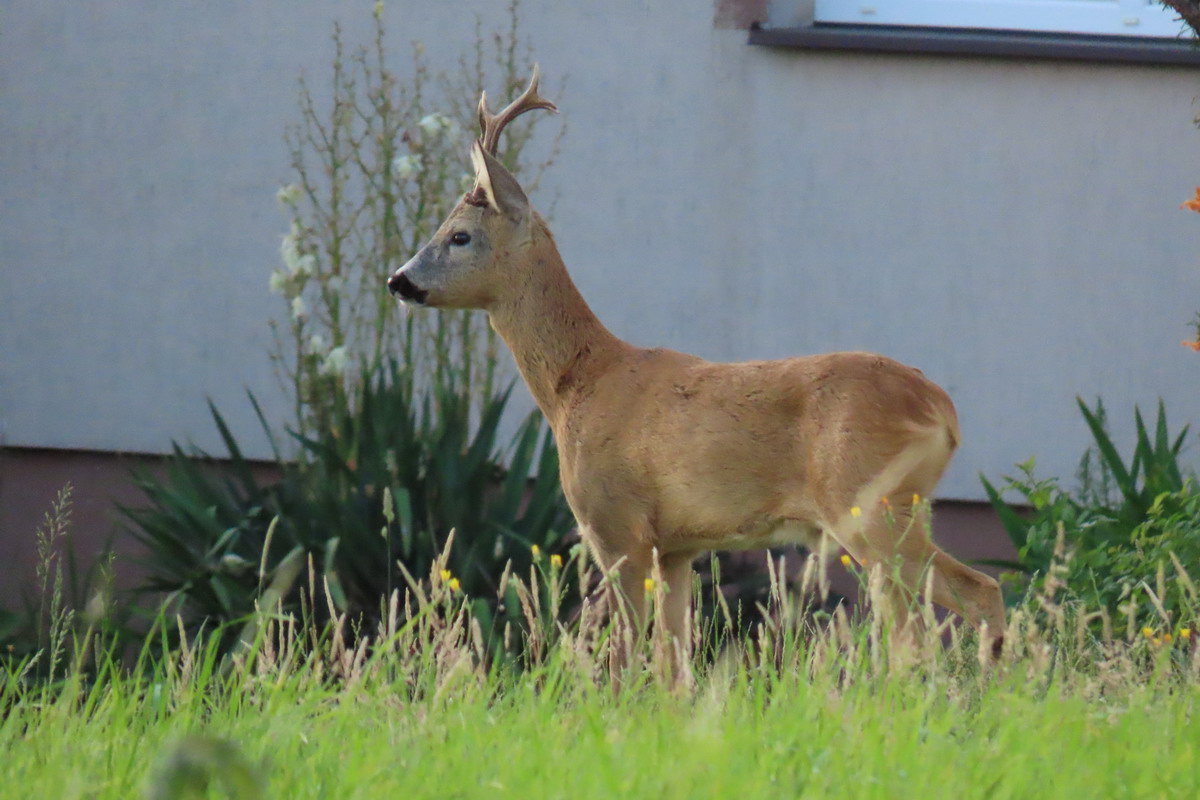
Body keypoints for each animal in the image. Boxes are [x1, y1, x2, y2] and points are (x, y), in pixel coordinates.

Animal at [384, 67, 1003, 671]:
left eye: (459, 236)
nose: (398, 280)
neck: (577, 386)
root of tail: (943, 410)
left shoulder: (616, 525)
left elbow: (625, 659)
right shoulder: (676, 547)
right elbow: (673, 664)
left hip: (869, 503)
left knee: (974, 595)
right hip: (895, 510)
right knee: (916, 626)